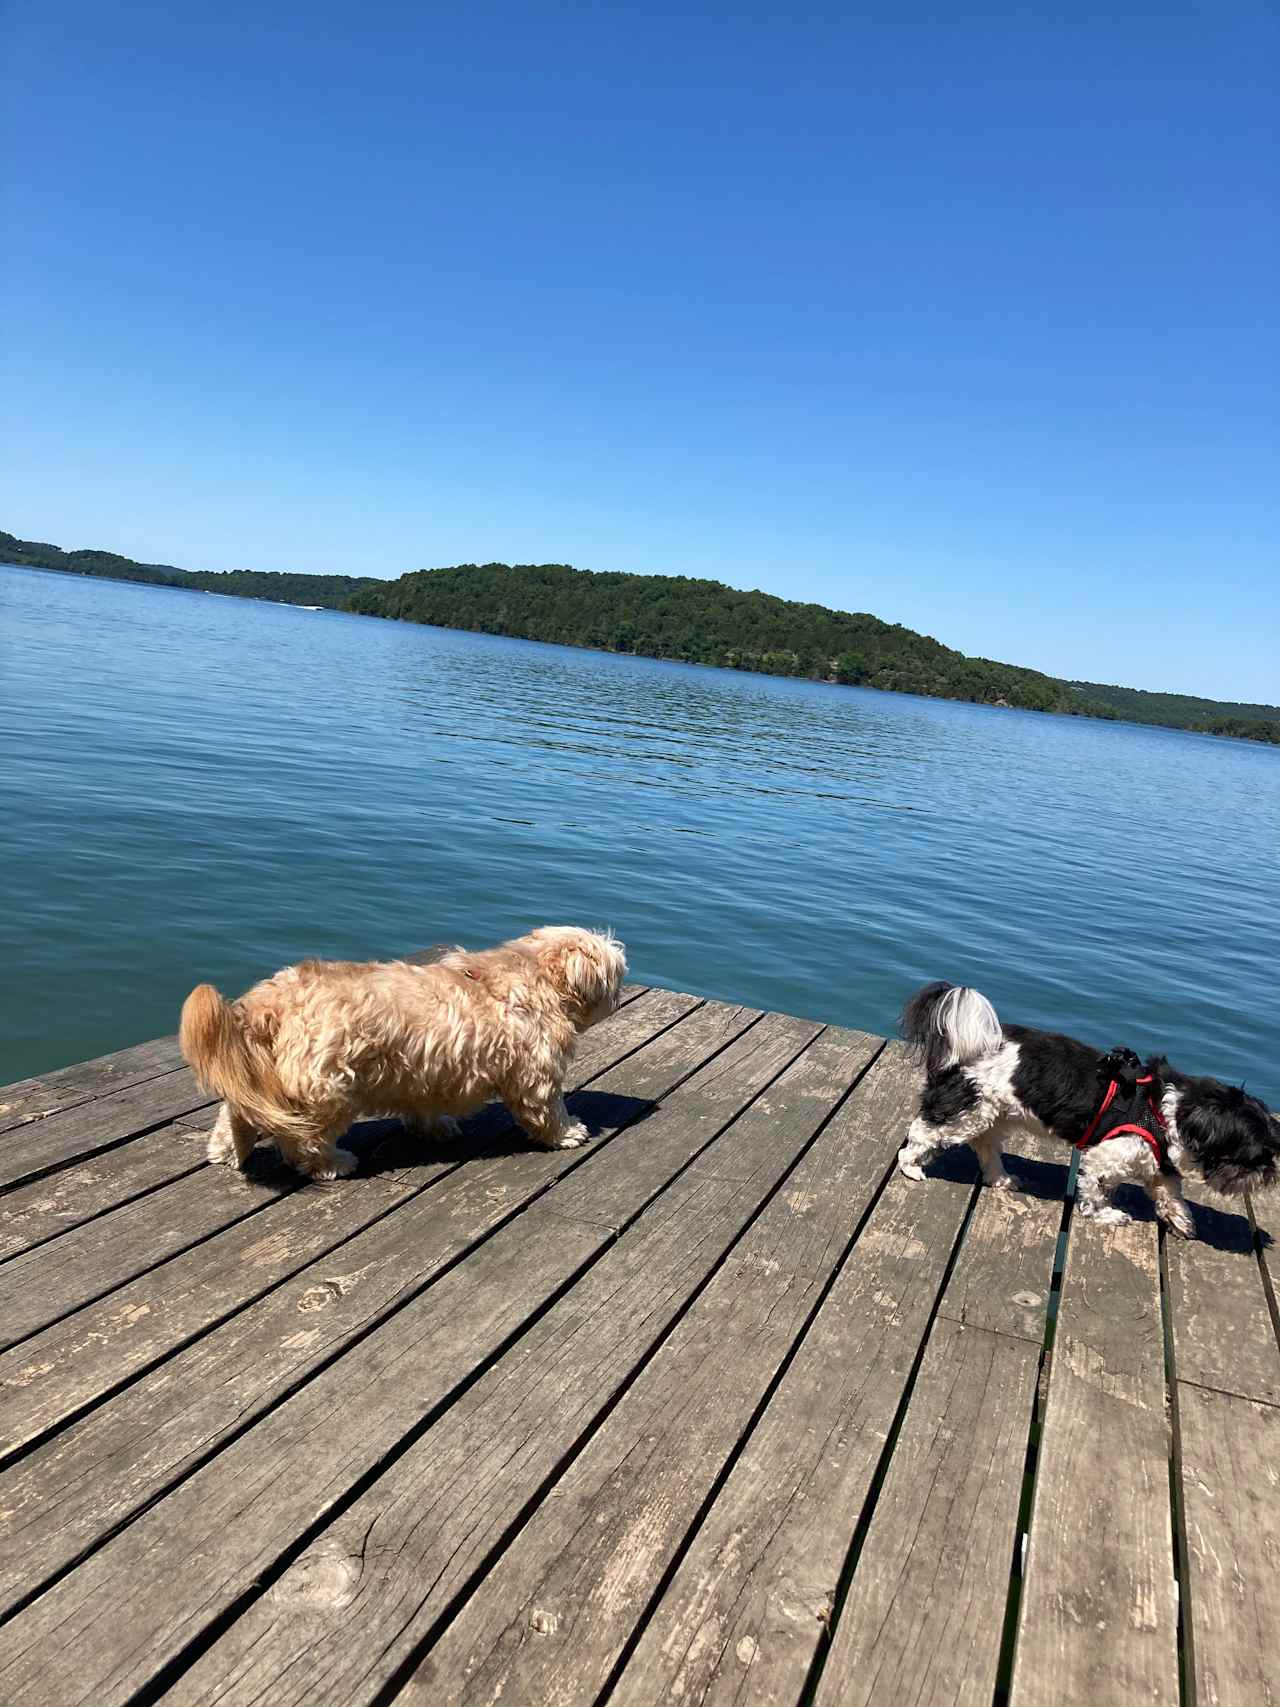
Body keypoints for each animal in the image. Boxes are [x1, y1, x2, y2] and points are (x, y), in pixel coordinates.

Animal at [180, 928, 631, 1181]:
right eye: (617, 971)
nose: (619, 992)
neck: (528, 977)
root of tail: (269, 1000)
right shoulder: (535, 1075)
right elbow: (546, 1110)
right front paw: (567, 1132)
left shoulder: (424, 1071)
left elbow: (423, 1107)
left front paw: (435, 1128)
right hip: (328, 1089)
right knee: (303, 1143)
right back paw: (333, 1163)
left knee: (235, 1114)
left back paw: (225, 1151)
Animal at [901, 983, 1280, 1235]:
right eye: (1251, 1157)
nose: (1268, 1174)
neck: (1164, 1112)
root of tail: (974, 1045)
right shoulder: (1105, 1156)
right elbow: (1097, 1191)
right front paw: (1107, 1215)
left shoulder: (1159, 1164)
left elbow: (1169, 1191)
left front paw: (1179, 1219)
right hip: (965, 1111)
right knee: (922, 1131)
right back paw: (911, 1167)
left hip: (992, 1114)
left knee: (985, 1145)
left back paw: (1001, 1178)